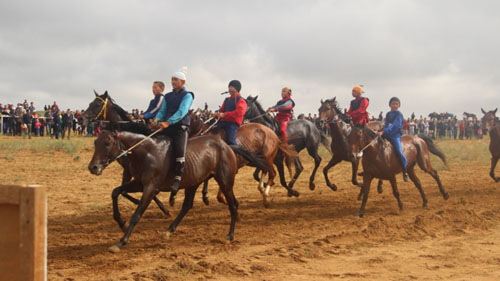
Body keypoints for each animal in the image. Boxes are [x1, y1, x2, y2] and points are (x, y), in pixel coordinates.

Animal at [88, 128, 272, 250]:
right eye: (95, 142)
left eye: (107, 143)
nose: (93, 167)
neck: (146, 153)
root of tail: (227, 146)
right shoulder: (139, 183)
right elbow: (115, 192)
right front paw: (121, 222)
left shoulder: (150, 187)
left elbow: (137, 214)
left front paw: (122, 241)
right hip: (194, 182)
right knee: (187, 206)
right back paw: (169, 230)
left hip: (225, 181)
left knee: (233, 205)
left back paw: (230, 235)